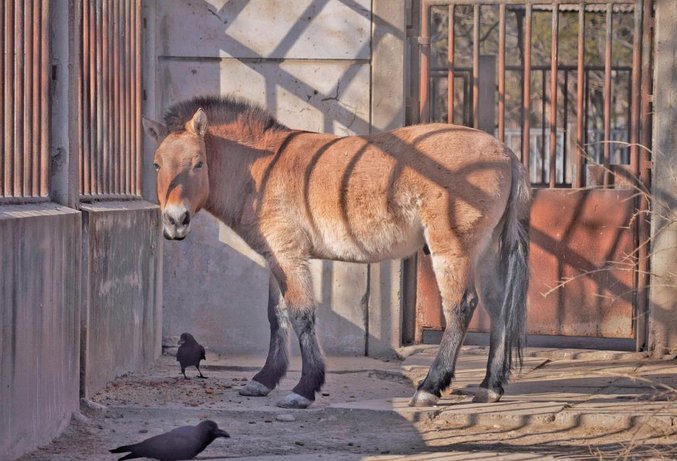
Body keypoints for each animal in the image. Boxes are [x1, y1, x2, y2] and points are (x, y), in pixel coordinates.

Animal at [142, 95, 531, 409]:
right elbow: (276, 317)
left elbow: (301, 316)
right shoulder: (275, 258)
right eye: (157, 164)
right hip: (486, 251)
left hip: (452, 249)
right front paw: (264, 380)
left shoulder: (289, 254)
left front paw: (304, 388)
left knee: (460, 307)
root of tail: (507, 153)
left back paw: (429, 387)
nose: (175, 221)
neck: (262, 168)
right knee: (498, 308)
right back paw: (490, 387)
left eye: (198, 163)